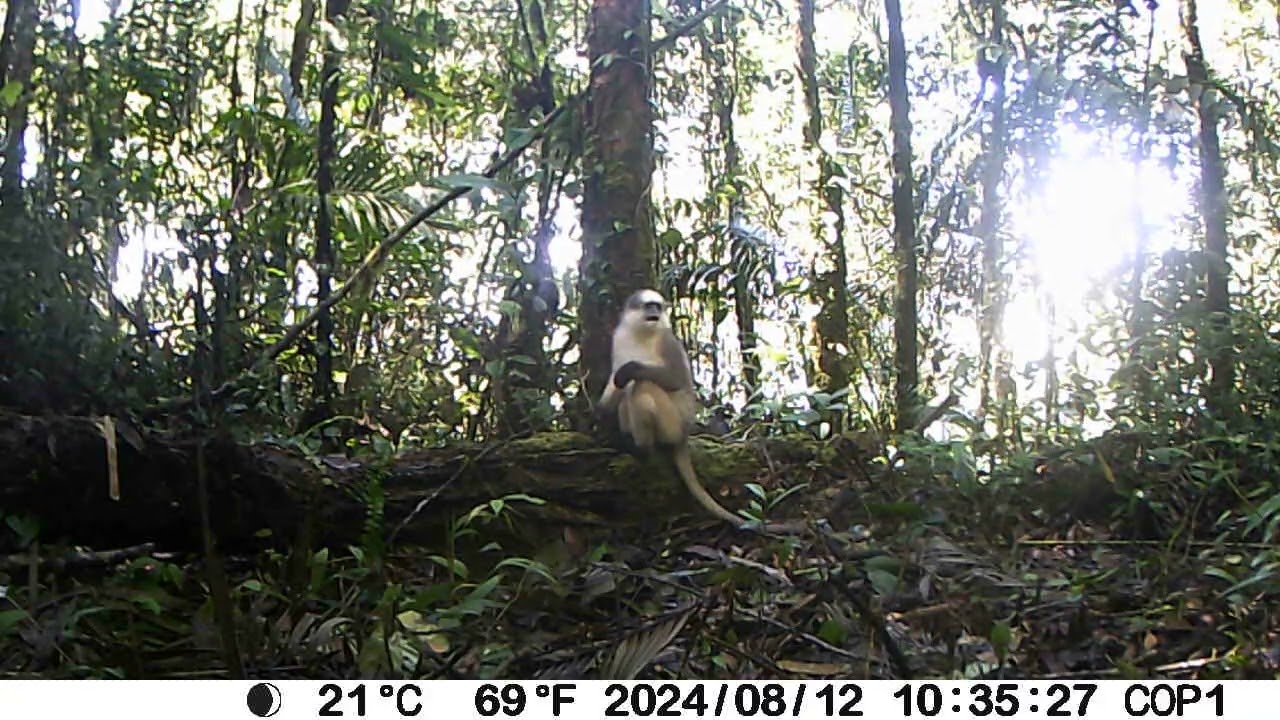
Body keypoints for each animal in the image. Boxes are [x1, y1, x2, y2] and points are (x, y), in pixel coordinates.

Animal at [597, 289, 804, 534]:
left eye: (658, 306)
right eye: (649, 306)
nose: (655, 312)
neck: (641, 333)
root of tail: (684, 434)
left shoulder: (667, 341)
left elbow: (673, 378)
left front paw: (630, 370)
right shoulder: (619, 339)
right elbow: (615, 383)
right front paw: (598, 413)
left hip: (672, 424)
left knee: (643, 386)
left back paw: (642, 449)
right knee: (628, 396)